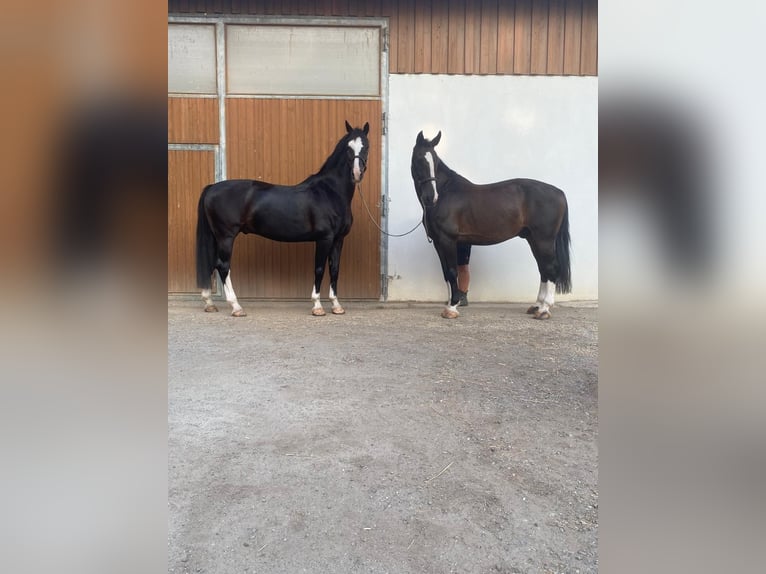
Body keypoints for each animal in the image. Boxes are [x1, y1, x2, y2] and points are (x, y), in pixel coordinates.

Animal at [195, 122, 368, 320]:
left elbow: (334, 269)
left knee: (212, 263)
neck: (330, 192)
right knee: (223, 266)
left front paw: (336, 305)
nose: (357, 173)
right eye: (348, 148)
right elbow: (319, 269)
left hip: (216, 237)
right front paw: (317, 306)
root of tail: (211, 188)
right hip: (226, 237)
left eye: (365, 146)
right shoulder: (324, 239)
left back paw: (209, 303)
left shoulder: (338, 239)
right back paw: (236, 307)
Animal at [414, 129, 568, 320]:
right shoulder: (438, 242)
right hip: (533, 239)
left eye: (434, 161)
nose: (431, 197)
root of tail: (559, 192)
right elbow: (446, 274)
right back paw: (537, 306)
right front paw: (450, 304)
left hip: (544, 240)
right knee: (543, 269)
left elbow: (452, 271)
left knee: (551, 268)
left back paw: (545, 309)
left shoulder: (447, 240)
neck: (446, 193)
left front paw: (452, 307)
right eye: (419, 159)